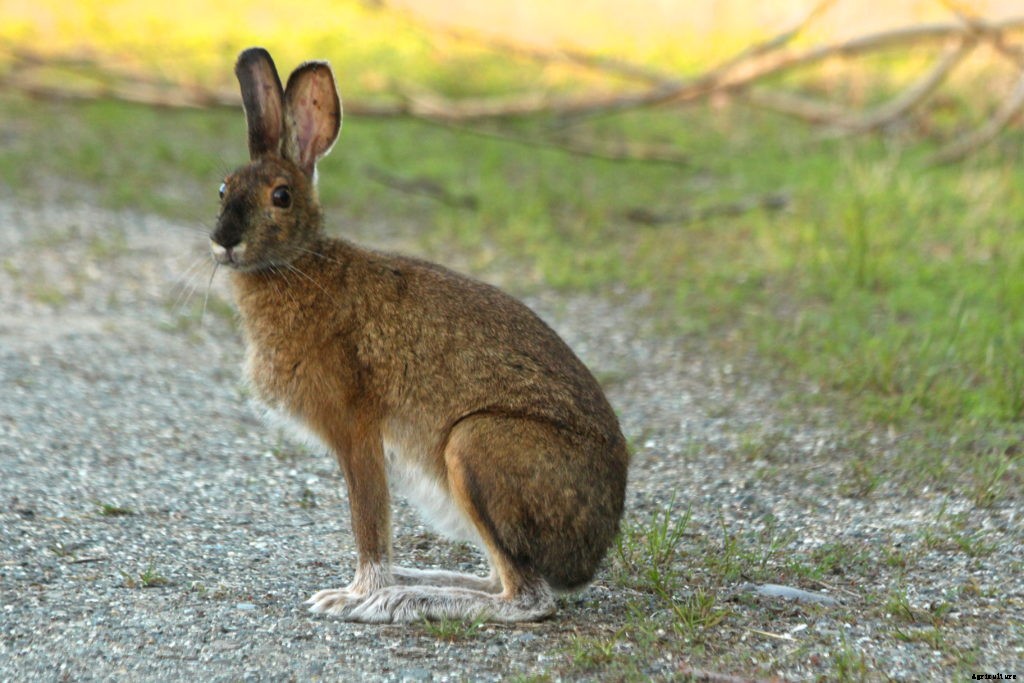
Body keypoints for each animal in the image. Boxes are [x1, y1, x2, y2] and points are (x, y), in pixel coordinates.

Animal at [209, 47, 629, 623]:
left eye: (282, 196)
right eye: (223, 189)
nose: (223, 241)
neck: (299, 265)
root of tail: (591, 554)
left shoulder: (356, 430)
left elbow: (369, 525)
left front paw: (353, 596)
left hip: (476, 447)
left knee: (527, 598)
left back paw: (400, 598)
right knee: (504, 580)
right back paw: (418, 582)